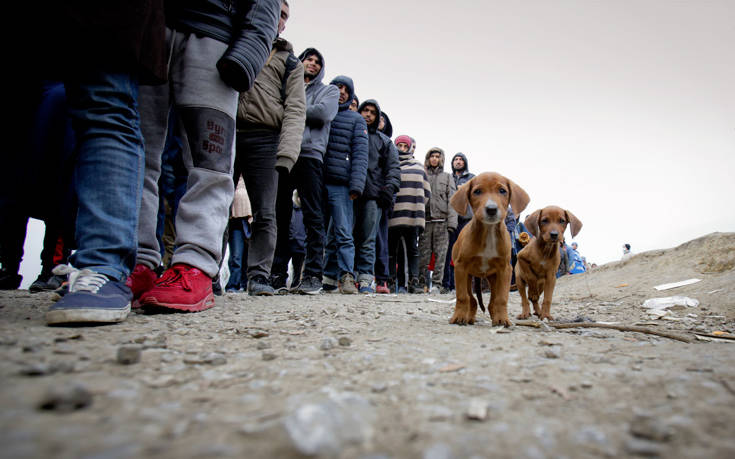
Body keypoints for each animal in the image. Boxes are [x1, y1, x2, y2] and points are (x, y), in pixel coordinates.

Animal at [448, 172, 528, 328]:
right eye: (477, 191)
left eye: (502, 190)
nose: (491, 209)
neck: (489, 231)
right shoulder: (460, 267)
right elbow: (462, 296)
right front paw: (458, 317)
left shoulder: (505, 270)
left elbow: (501, 298)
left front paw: (502, 318)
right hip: (468, 275)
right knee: (472, 299)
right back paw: (468, 318)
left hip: (493, 277)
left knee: (491, 302)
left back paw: (495, 318)